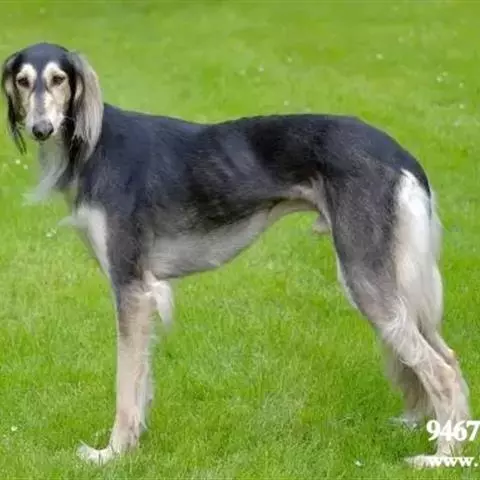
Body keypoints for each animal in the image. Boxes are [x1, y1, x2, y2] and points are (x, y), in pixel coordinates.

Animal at [1, 42, 470, 468]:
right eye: (22, 81)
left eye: (58, 79)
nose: (41, 128)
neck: (94, 146)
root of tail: (400, 153)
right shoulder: (144, 293)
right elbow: (141, 379)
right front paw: (134, 443)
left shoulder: (131, 286)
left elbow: (124, 383)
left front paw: (112, 453)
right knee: (447, 356)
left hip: (366, 277)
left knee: (443, 372)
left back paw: (443, 458)